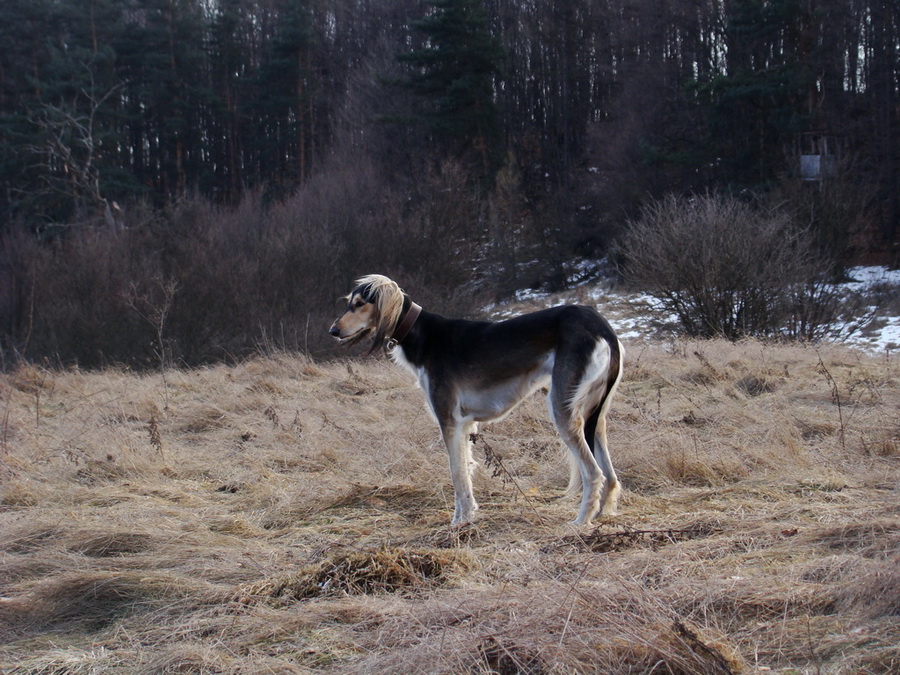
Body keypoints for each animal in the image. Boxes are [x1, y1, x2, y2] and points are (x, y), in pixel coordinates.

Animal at [330, 274, 624, 528]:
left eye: (360, 303)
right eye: (348, 301)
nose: (333, 330)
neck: (421, 334)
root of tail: (602, 325)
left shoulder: (449, 421)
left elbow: (457, 473)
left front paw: (460, 522)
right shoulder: (465, 425)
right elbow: (466, 469)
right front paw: (466, 515)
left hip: (563, 408)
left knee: (594, 473)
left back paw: (580, 522)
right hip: (595, 414)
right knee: (609, 475)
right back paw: (601, 515)